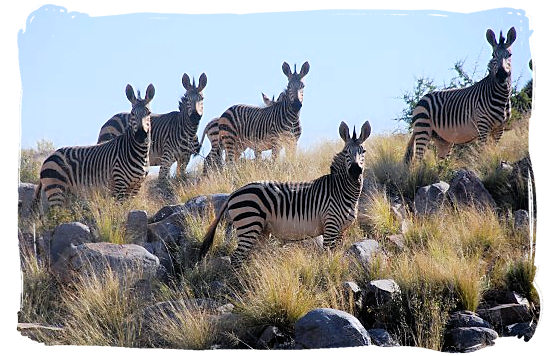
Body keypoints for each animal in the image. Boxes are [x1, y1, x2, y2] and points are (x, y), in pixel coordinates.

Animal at [198, 119, 372, 268]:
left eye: (363, 151)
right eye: (346, 152)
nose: (355, 171)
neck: (342, 190)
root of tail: (234, 193)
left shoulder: (342, 230)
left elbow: (337, 255)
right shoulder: (330, 226)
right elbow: (327, 256)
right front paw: (327, 273)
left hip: (261, 230)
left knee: (253, 256)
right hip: (249, 224)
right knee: (236, 258)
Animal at [406, 27, 520, 163]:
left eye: (510, 55)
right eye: (493, 55)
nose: (502, 75)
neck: (501, 97)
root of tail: (422, 98)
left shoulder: (500, 128)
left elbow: (493, 149)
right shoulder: (483, 125)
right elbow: (483, 150)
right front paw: (485, 164)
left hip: (442, 139)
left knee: (441, 162)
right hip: (423, 128)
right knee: (417, 160)